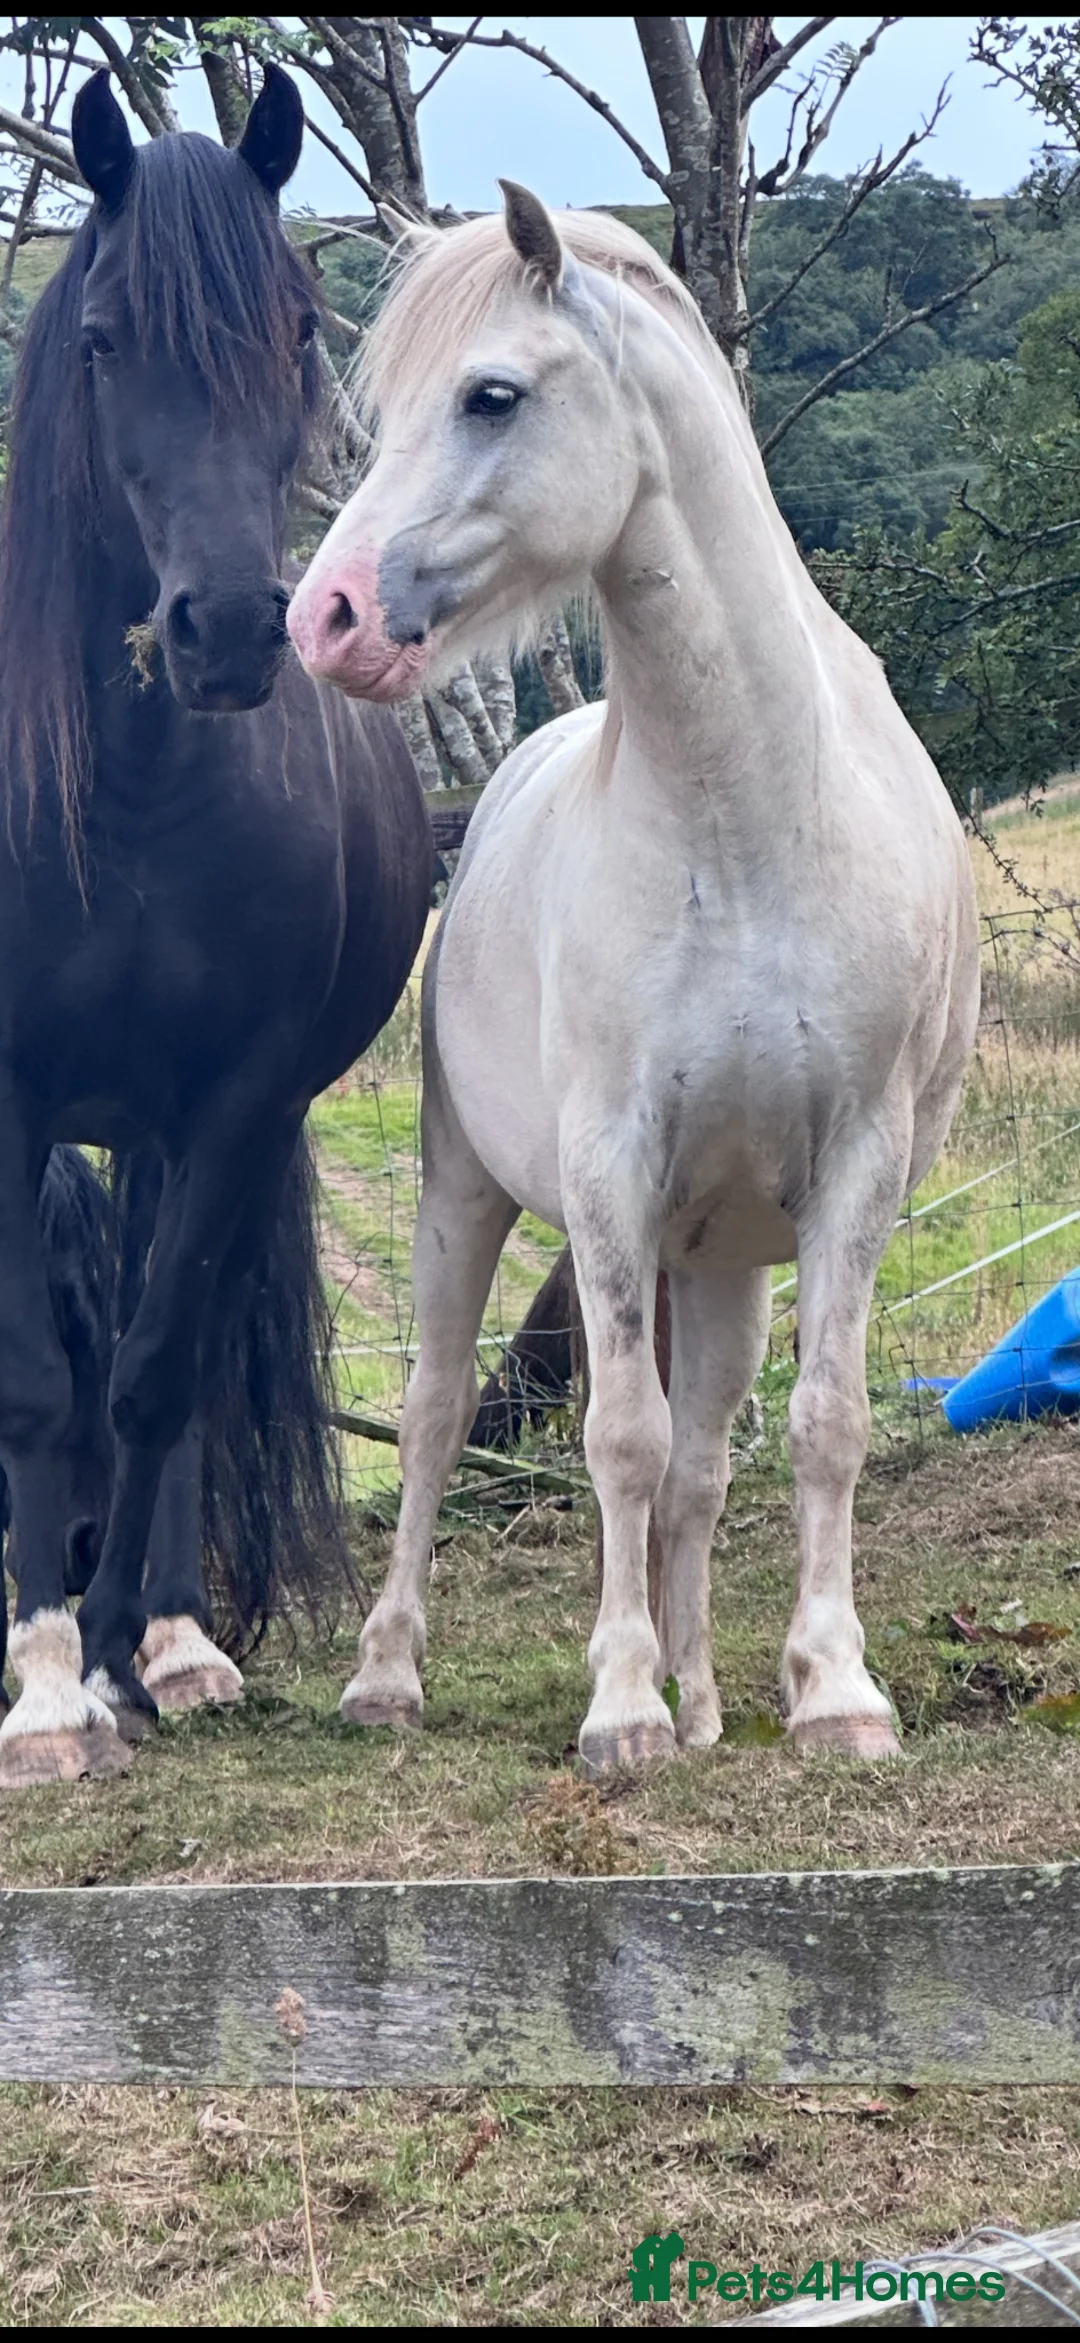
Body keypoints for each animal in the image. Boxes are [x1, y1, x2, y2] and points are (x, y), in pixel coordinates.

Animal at [0, 65, 432, 1790]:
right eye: (107, 338)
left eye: (298, 327)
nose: (236, 630)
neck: (121, 795)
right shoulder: (11, 1098)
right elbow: (41, 1385)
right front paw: (42, 1685)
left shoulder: (240, 1095)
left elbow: (153, 1375)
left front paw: (116, 1652)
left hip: (204, 1135)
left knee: (177, 1354)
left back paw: (176, 1638)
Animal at [287, 188, 980, 1776]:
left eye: (490, 395)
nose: (325, 616)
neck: (752, 817)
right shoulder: (608, 1167)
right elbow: (617, 1435)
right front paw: (620, 1704)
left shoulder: (855, 1170)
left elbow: (818, 1426)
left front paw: (831, 1691)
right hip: (464, 1196)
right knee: (435, 1413)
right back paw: (390, 1674)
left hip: (715, 1256)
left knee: (707, 1457)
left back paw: (712, 1693)